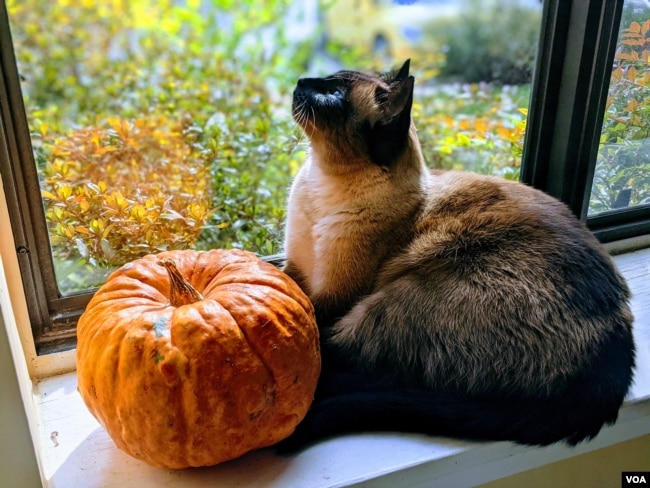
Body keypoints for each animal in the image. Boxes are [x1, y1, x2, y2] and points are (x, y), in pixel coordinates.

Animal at [278, 60, 632, 450]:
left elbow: (311, 322)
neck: (320, 188)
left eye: (334, 94)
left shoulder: (334, 296)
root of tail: (617, 334)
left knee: (349, 360)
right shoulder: (295, 268)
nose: (299, 81)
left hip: (396, 297)